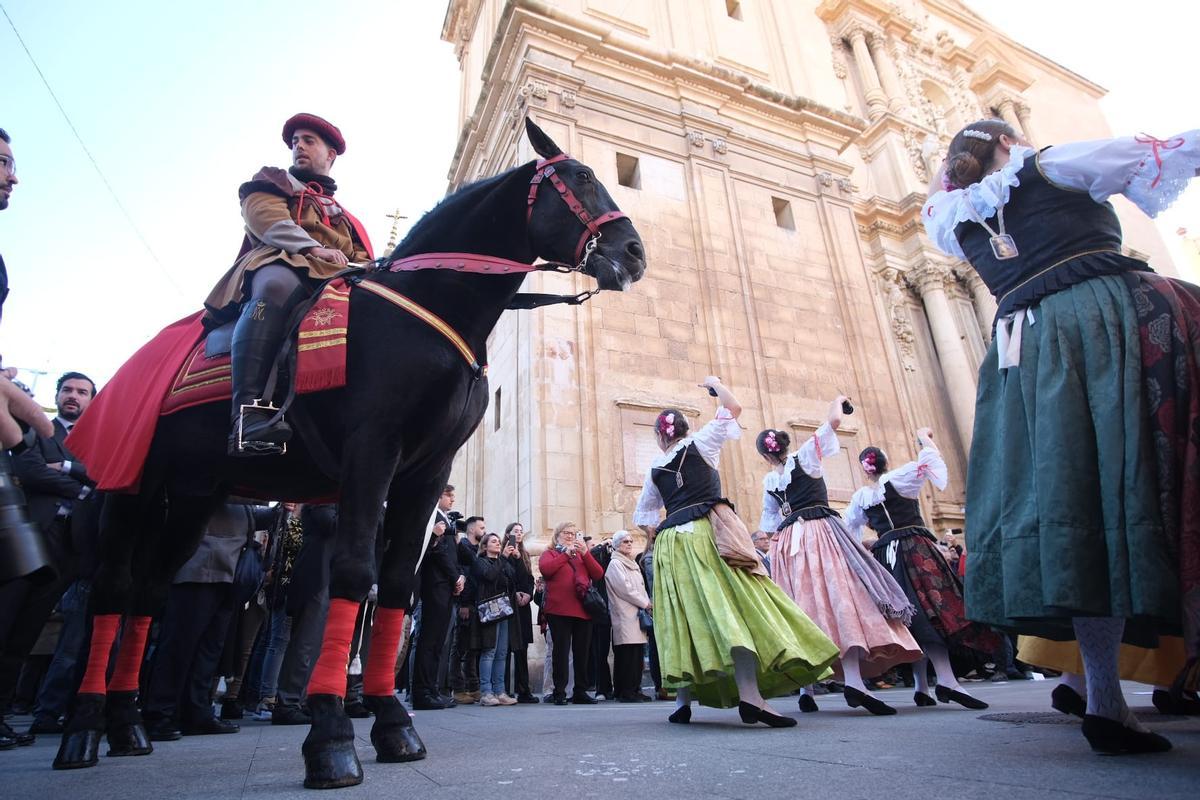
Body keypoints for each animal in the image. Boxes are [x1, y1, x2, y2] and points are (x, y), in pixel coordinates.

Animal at [54, 120, 648, 786]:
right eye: (582, 177)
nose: (633, 253)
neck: (425, 304)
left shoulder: (426, 471)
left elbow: (392, 583)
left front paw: (391, 724)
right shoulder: (372, 452)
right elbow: (356, 574)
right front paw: (333, 736)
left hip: (191, 494)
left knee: (149, 591)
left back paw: (127, 725)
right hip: (132, 487)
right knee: (112, 590)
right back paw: (85, 730)